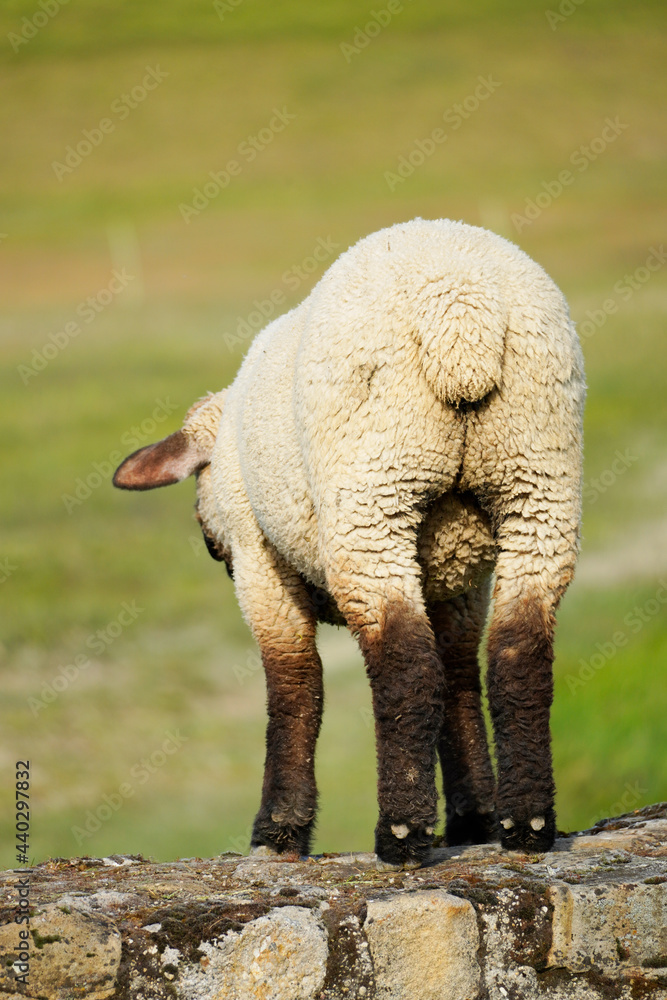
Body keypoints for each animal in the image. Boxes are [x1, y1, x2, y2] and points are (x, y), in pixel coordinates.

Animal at [113, 217, 585, 868]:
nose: (213, 550)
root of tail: (462, 314)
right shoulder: (460, 578)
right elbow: (460, 676)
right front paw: (474, 818)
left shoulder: (259, 560)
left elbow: (294, 685)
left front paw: (278, 832)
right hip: (536, 474)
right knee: (520, 650)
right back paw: (527, 823)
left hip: (373, 490)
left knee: (403, 661)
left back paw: (402, 834)